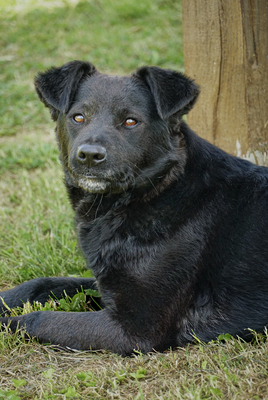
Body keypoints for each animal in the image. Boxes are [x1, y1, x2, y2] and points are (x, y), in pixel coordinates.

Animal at [0, 61, 268, 354]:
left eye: (130, 121)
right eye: (78, 117)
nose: (89, 156)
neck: (150, 193)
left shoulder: (136, 329)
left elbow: (38, 318)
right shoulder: (107, 284)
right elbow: (43, 283)